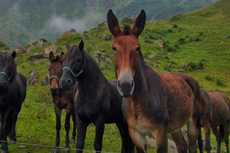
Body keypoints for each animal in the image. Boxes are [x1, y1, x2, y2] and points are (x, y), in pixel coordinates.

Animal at [107, 9, 194, 153]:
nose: (126, 86)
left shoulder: (160, 133)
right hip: (175, 127)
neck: (137, 101)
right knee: (182, 145)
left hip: (192, 123)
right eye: (114, 48)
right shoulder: (136, 134)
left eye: (137, 48)